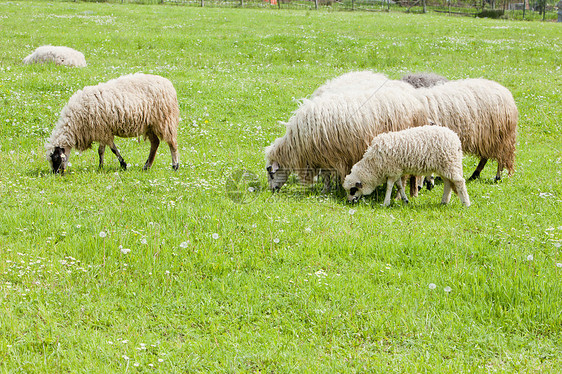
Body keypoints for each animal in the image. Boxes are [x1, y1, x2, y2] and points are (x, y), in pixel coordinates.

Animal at [45, 73, 179, 174]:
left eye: (56, 158)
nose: (56, 173)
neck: (74, 124)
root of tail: (168, 83)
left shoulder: (103, 130)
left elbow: (109, 150)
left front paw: (119, 165)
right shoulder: (102, 131)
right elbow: (104, 150)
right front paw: (104, 166)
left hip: (164, 120)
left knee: (172, 143)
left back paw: (175, 165)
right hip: (150, 125)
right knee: (155, 143)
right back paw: (147, 166)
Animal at [264, 80, 426, 193]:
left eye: (270, 173)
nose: (272, 190)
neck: (296, 143)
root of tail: (415, 99)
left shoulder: (329, 155)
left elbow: (327, 175)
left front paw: (326, 190)